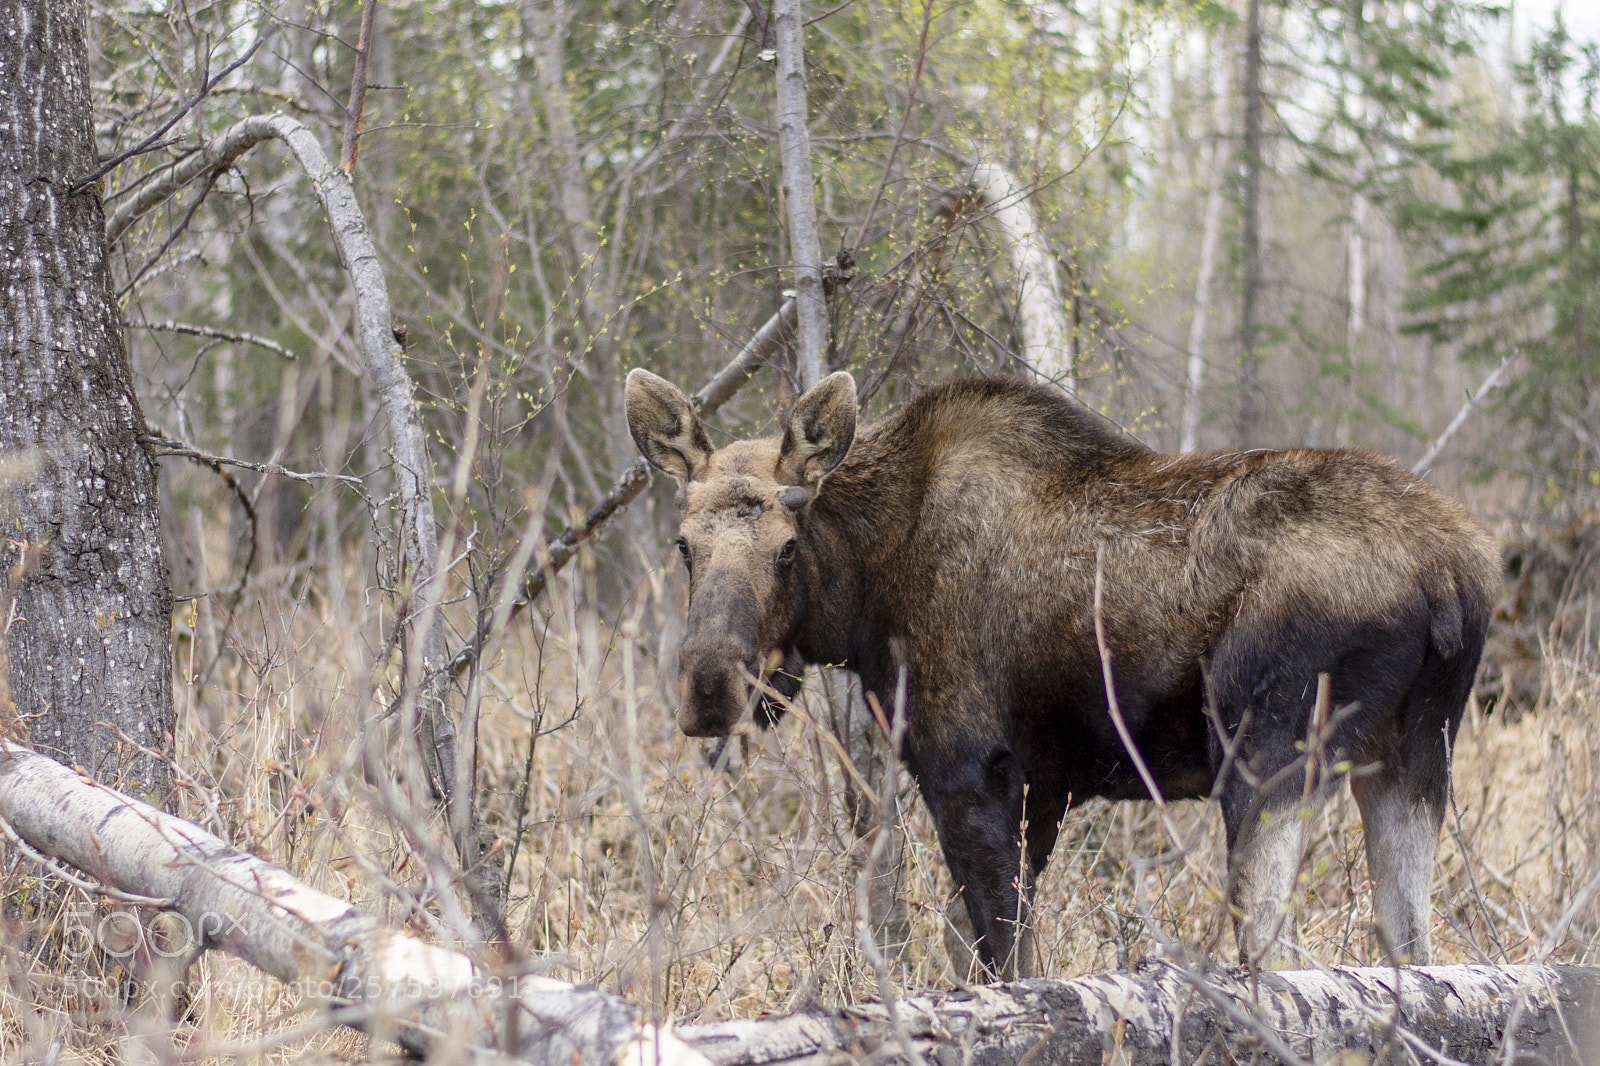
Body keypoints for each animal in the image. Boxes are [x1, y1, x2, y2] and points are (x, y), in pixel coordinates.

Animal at [624, 367, 1499, 978]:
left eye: (787, 546)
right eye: (683, 545)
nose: (710, 688)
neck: (866, 596)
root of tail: (1456, 578)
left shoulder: (968, 769)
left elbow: (1004, 961)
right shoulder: (1042, 791)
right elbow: (973, 951)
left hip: (1269, 753)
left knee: (1278, 957)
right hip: (1415, 757)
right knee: (1414, 949)